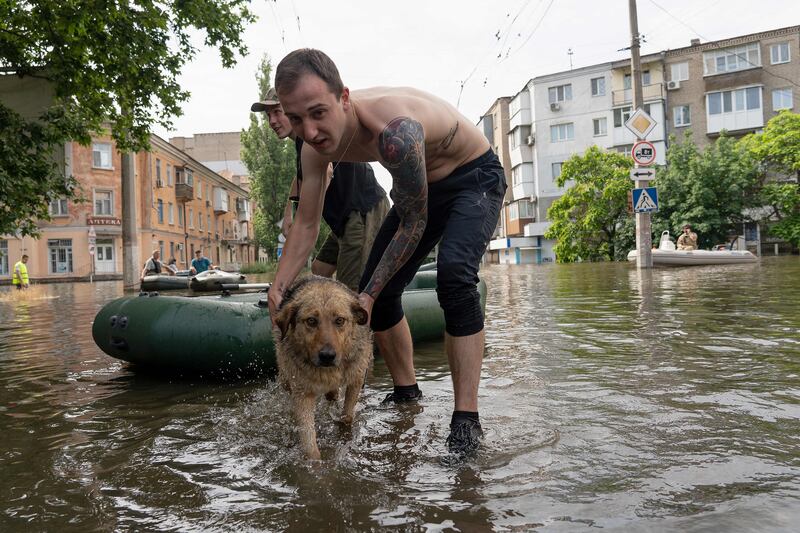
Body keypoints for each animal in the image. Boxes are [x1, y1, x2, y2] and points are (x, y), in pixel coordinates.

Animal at [274, 274, 374, 458]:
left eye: (339, 320)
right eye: (311, 321)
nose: (327, 356)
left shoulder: (356, 378)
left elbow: (347, 416)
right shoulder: (302, 393)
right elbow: (308, 440)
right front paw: (315, 462)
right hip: (285, 379)